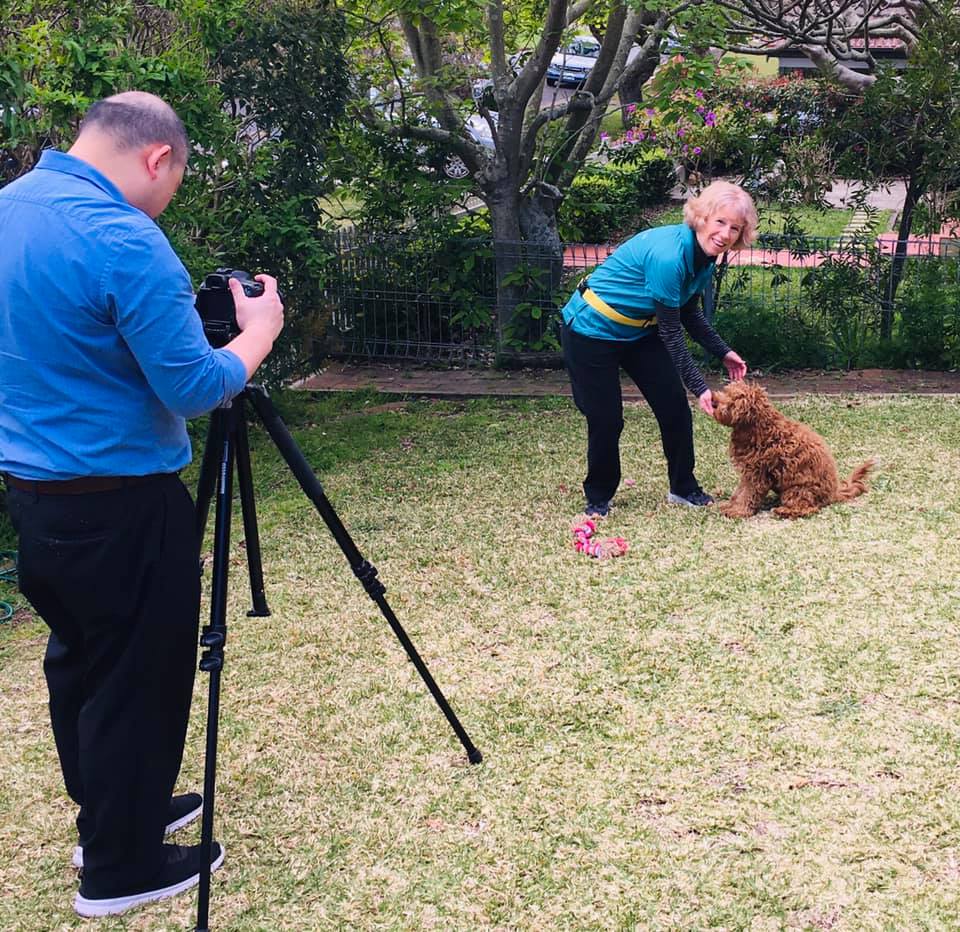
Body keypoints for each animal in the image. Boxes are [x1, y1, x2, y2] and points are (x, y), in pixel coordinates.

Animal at [708, 382, 872, 520]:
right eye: (726, 391)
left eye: (733, 401)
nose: (713, 400)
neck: (759, 428)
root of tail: (833, 493)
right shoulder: (748, 473)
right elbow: (739, 492)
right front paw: (729, 506)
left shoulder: (757, 474)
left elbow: (747, 494)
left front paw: (737, 511)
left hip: (797, 490)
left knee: (808, 508)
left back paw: (784, 511)